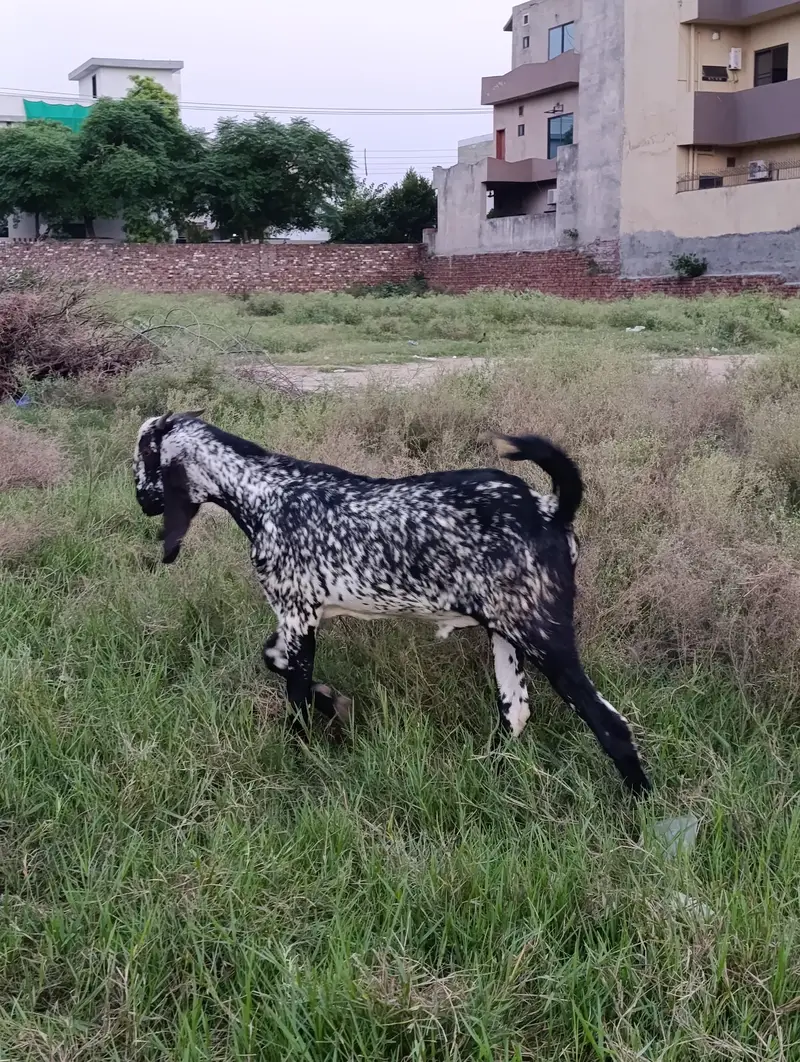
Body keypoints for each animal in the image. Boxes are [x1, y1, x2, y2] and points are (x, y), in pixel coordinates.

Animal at [133, 412, 651, 796]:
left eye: (141, 457)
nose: (141, 501)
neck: (264, 490)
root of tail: (549, 509)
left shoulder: (298, 614)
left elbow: (295, 695)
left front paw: (300, 750)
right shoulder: (298, 619)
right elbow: (273, 659)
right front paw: (334, 701)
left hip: (541, 630)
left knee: (610, 724)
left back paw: (639, 808)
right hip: (505, 632)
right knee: (517, 711)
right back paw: (489, 771)